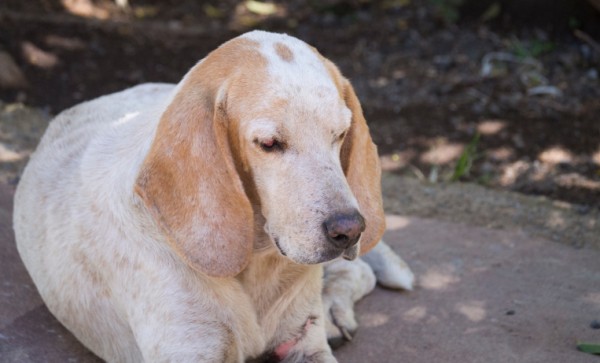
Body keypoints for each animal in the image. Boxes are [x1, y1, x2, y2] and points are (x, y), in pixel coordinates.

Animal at [12, 32, 412, 363]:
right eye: (269, 144)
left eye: (340, 134)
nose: (350, 230)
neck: (255, 261)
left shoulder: (306, 347)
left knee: (358, 271)